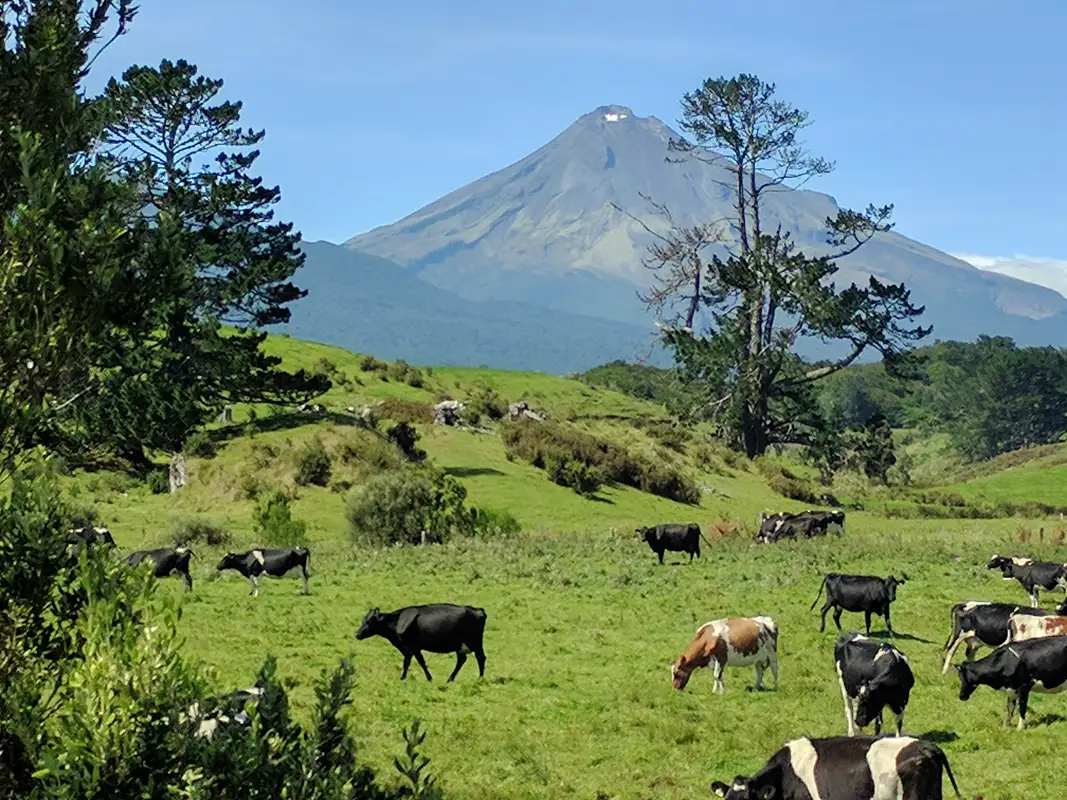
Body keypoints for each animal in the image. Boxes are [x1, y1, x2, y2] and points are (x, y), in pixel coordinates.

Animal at [358, 601, 490, 682]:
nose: (357, 634)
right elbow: (413, 662)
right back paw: (450, 679)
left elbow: (414, 662)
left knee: (480, 658)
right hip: (461, 646)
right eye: (363, 620)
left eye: (369, 622)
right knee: (462, 660)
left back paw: (480, 678)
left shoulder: (412, 647)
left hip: (475, 642)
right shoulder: (411, 649)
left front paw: (406, 678)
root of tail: (478, 610)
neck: (397, 621)